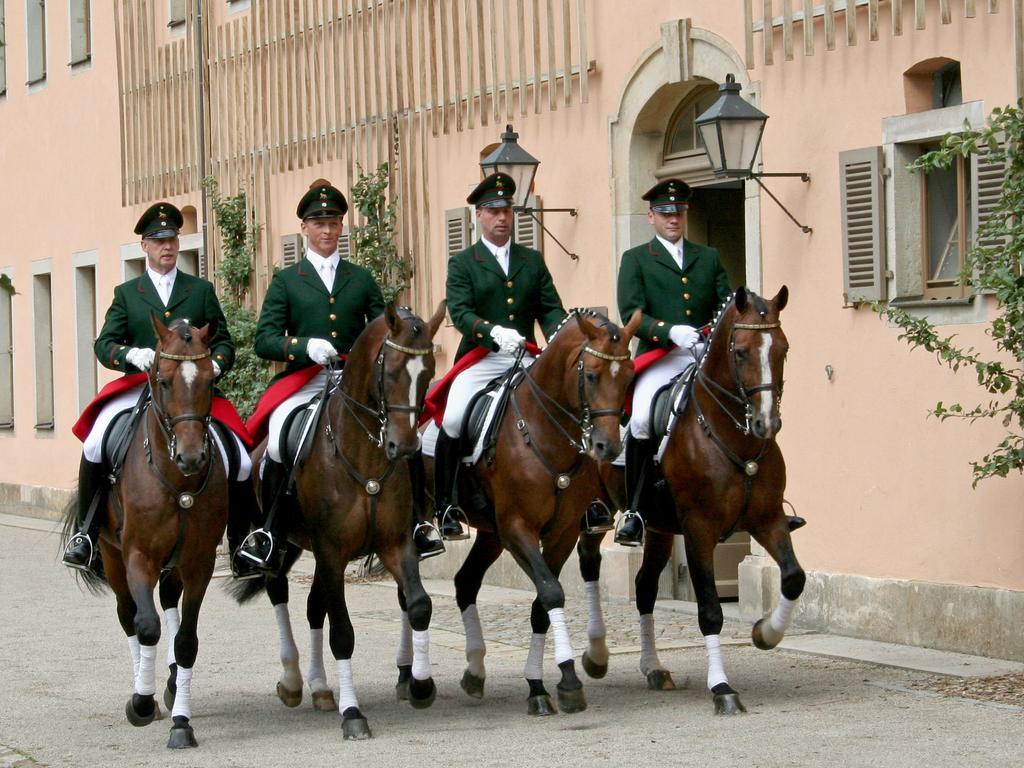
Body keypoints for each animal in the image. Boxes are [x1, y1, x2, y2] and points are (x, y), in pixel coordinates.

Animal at [60, 317, 229, 753]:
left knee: (167, 603)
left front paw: (182, 723)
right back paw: (147, 689)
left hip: (174, 563)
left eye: (210, 379)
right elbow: (146, 625)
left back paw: (169, 683)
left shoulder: (199, 562)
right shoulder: (138, 556)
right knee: (129, 615)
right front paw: (140, 701)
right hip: (111, 554)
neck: (177, 481)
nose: (192, 457)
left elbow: (186, 640)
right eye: (163, 380)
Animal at [234, 303, 446, 741]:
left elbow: (419, 605)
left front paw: (420, 685)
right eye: (391, 372)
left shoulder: (395, 543)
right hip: (285, 545)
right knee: (279, 592)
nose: (405, 447)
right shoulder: (332, 552)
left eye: (429, 372)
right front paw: (353, 715)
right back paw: (293, 682)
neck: (364, 455)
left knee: (314, 607)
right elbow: (343, 633)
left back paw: (319, 687)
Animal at [442, 309, 638, 720]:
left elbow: (541, 606)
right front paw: (568, 679)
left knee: (465, 582)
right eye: (591, 374)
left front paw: (541, 686)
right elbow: (550, 592)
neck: (541, 430)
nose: (608, 447)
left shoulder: (561, 532)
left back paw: (475, 670)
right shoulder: (518, 529)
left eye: (629, 376)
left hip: (490, 535)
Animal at [577, 286, 798, 716]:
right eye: (741, 352)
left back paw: (652, 667)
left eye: (783, 348)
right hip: (594, 511)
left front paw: (766, 633)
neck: (735, 438)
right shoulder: (699, 529)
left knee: (645, 586)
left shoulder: (768, 519)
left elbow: (794, 578)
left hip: (659, 527)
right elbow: (710, 610)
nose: (767, 424)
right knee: (589, 562)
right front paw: (722, 688)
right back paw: (595, 654)